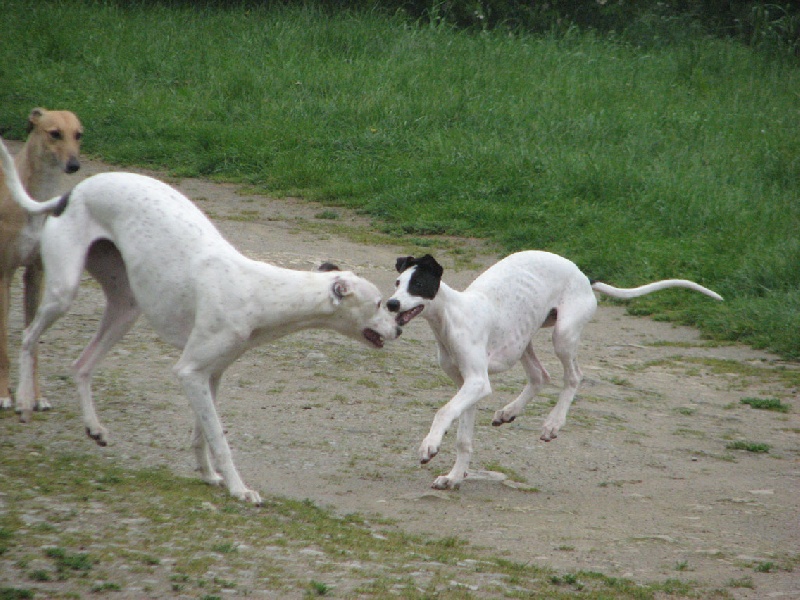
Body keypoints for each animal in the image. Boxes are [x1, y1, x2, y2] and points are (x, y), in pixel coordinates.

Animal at [0, 106, 82, 408]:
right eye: (54, 133)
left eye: (78, 134)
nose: (74, 165)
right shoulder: (4, 275)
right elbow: (3, 345)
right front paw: (4, 394)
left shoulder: (36, 274)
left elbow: (33, 344)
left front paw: (36, 396)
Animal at [384, 251, 720, 490]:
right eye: (398, 283)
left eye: (418, 285)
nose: (391, 304)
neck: (454, 317)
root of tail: (583, 276)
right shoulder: (468, 386)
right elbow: (463, 438)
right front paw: (454, 477)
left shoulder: (477, 384)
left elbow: (443, 411)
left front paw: (429, 446)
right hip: (525, 339)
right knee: (540, 376)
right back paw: (509, 412)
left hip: (563, 335)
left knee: (573, 376)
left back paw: (553, 424)